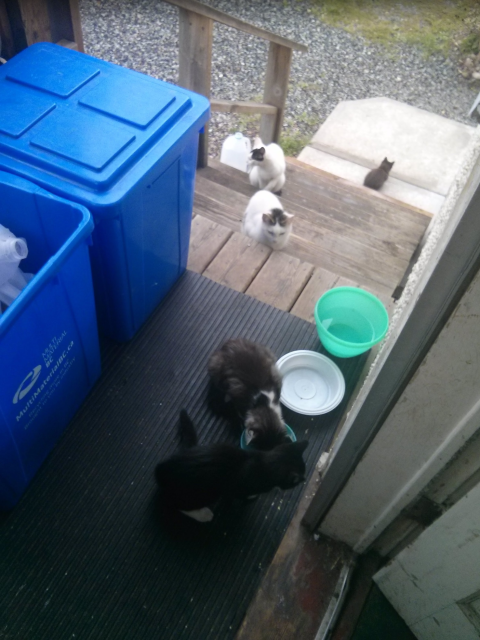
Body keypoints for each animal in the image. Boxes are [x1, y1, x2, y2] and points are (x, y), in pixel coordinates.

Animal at [156, 408, 310, 524]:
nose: (304, 478)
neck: (265, 461)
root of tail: (161, 469)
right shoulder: (236, 488)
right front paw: (251, 498)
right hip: (203, 491)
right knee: (175, 503)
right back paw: (204, 514)